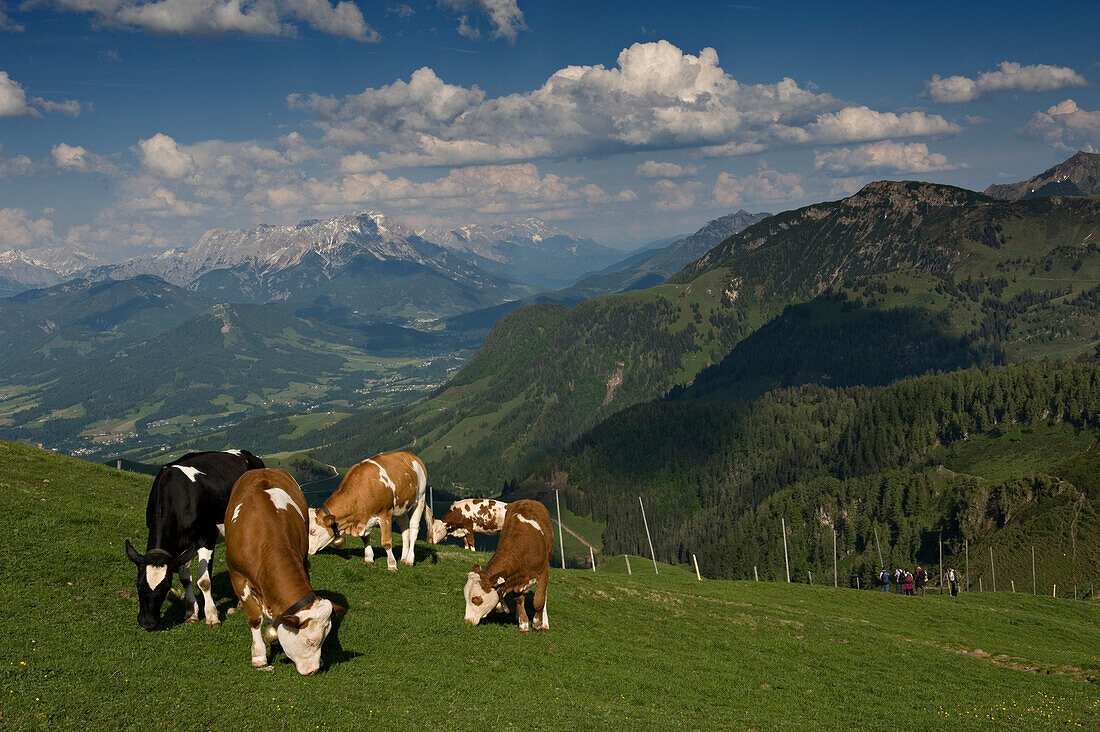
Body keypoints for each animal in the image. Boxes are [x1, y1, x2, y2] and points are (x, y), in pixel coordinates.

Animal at [124, 444, 264, 629]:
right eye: (139, 585)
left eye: (166, 587)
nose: (147, 622)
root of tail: (249, 455)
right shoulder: (180, 547)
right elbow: (185, 579)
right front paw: (191, 613)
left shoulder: (206, 538)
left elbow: (204, 581)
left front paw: (212, 617)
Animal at [223, 468, 343, 673]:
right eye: (311, 641)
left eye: (324, 640)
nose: (315, 669)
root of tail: (263, 469)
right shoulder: (237, 576)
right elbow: (254, 618)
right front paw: (259, 656)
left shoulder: (302, 560)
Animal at [462, 499, 550, 629]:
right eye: (465, 596)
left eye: (476, 599)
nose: (467, 621)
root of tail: (528, 500)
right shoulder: (515, 579)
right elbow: (519, 600)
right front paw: (523, 624)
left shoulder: (543, 571)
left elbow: (539, 600)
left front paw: (537, 623)